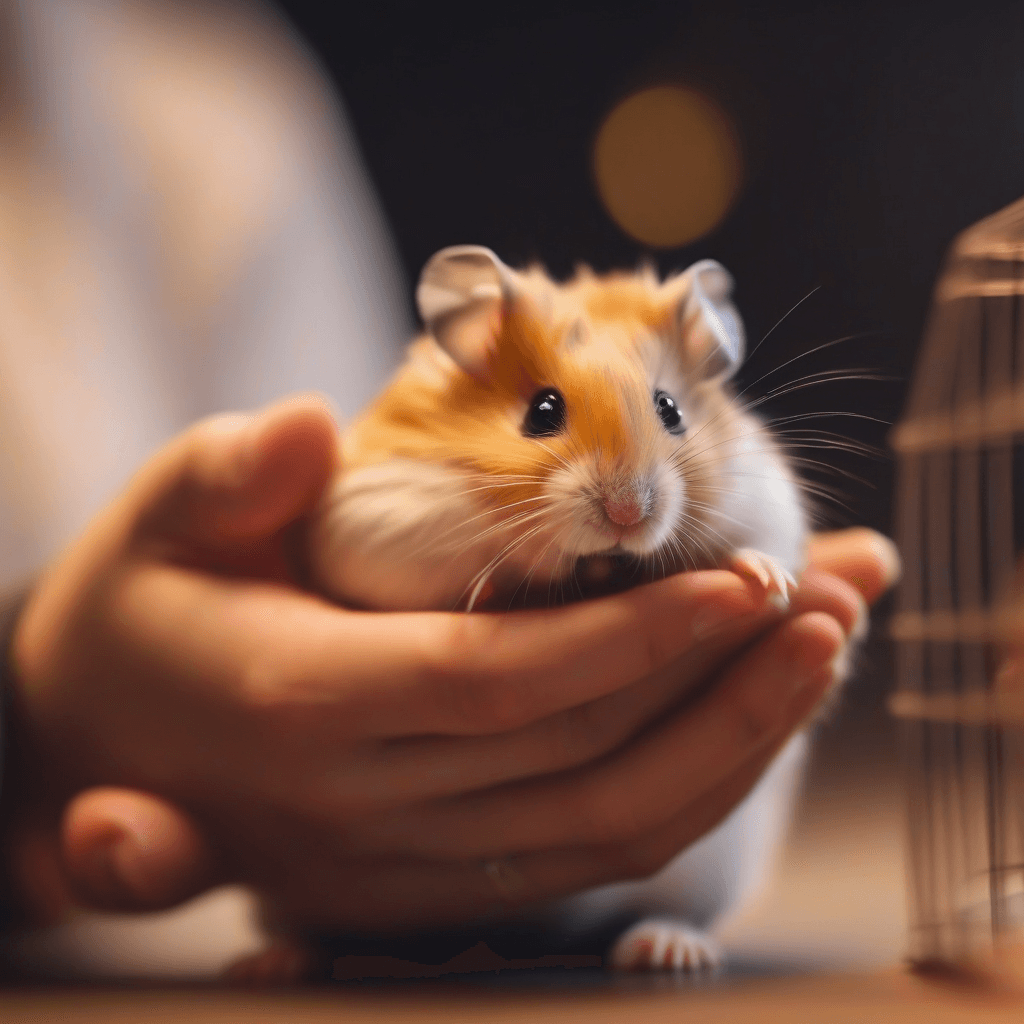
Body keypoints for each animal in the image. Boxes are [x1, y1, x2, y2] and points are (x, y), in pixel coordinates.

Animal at [296, 247, 815, 976]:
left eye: (671, 409)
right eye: (542, 411)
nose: (628, 515)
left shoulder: (765, 495)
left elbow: (757, 544)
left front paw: (768, 583)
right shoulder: (377, 519)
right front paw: (514, 578)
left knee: (678, 916)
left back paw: (666, 951)